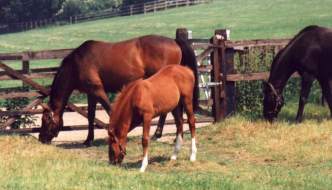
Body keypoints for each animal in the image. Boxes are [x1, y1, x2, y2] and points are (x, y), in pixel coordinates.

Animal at [38, 35, 197, 145]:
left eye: (45, 120)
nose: (41, 138)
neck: (76, 65)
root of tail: (174, 41)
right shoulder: (91, 94)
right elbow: (90, 116)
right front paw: (88, 140)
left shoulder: (98, 91)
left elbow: (110, 111)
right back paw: (165, 135)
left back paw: (159, 134)